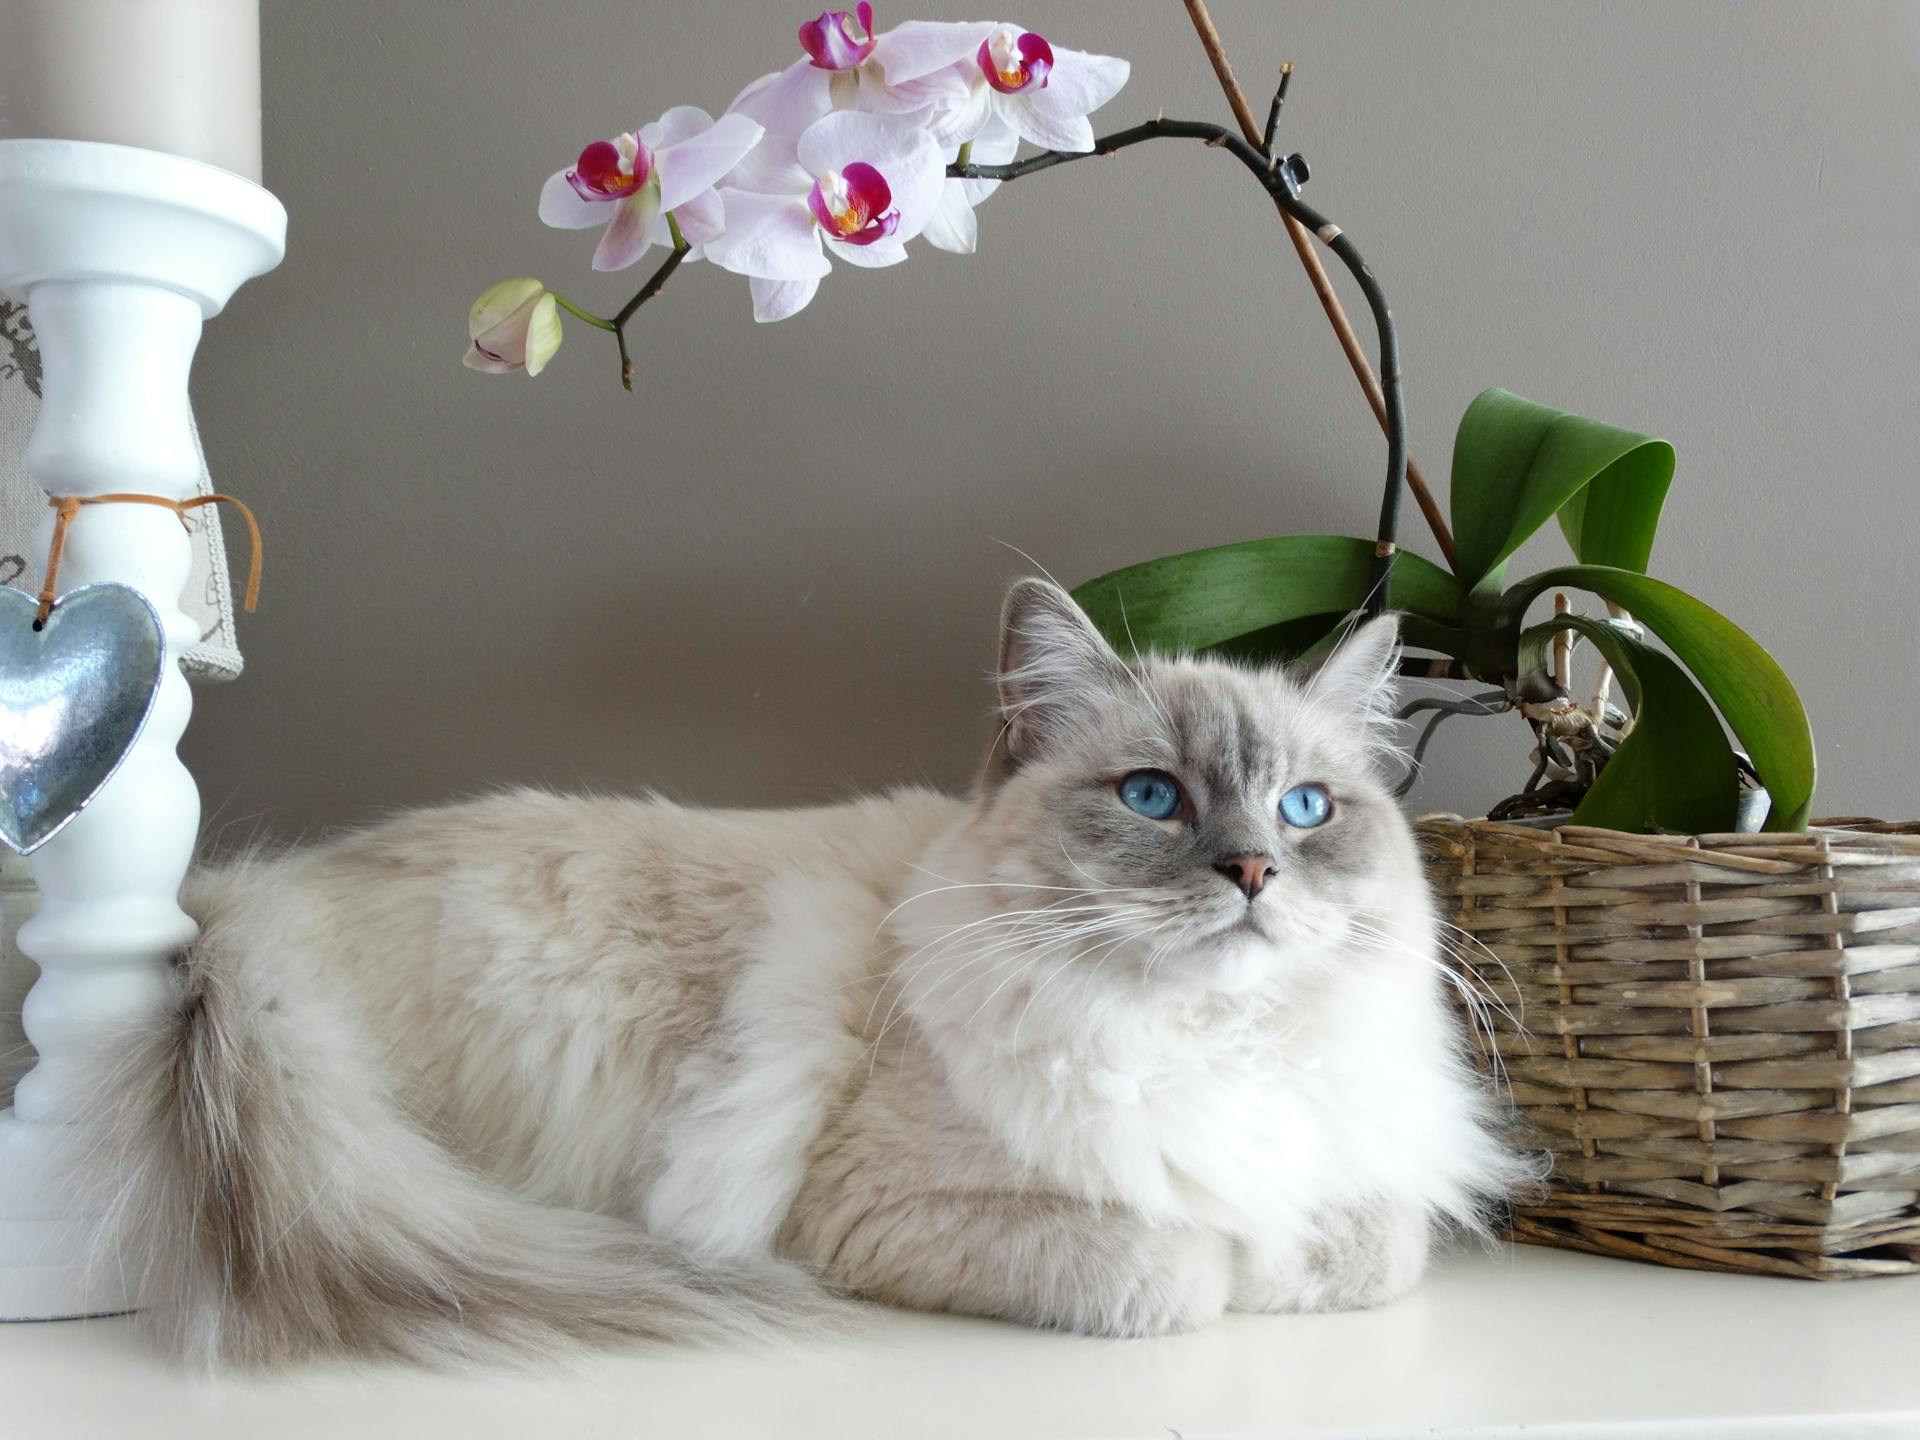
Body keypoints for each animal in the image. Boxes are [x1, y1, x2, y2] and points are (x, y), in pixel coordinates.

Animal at [74, 576, 1520, 1367]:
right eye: (1155, 797)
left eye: (1306, 811)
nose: (1254, 873)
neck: (1205, 1044)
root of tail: (253, 902)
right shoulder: (879, 1212)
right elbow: (1184, 1266)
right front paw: (1236, 1265)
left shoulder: (1359, 1193)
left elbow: (1365, 1246)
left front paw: (1288, 1262)